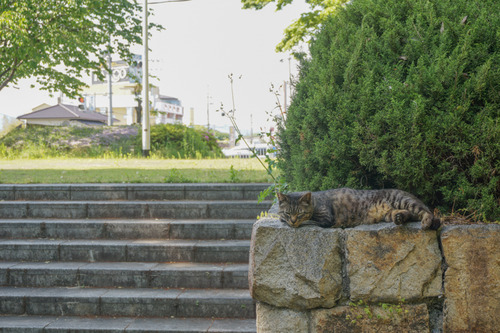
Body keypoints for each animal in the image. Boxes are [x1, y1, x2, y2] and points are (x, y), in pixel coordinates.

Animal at [276, 188, 440, 230]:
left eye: (300, 213)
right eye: (288, 212)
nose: (293, 221)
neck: (315, 202)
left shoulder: (325, 218)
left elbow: (310, 220)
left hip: (403, 200)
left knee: (426, 212)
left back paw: (426, 222)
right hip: (389, 213)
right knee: (408, 214)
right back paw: (399, 218)